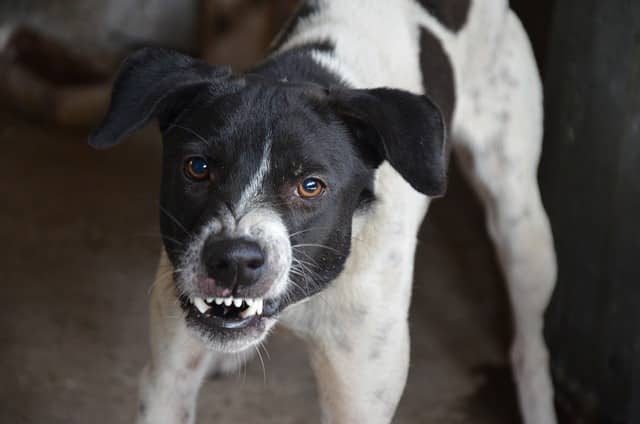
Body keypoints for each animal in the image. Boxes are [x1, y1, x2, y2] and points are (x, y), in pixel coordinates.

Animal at [87, 1, 556, 422]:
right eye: (197, 167)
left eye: (311, 186)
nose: (234, 260)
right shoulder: (167, 381)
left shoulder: (359, 399)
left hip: (521, 224)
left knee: (529, 345)